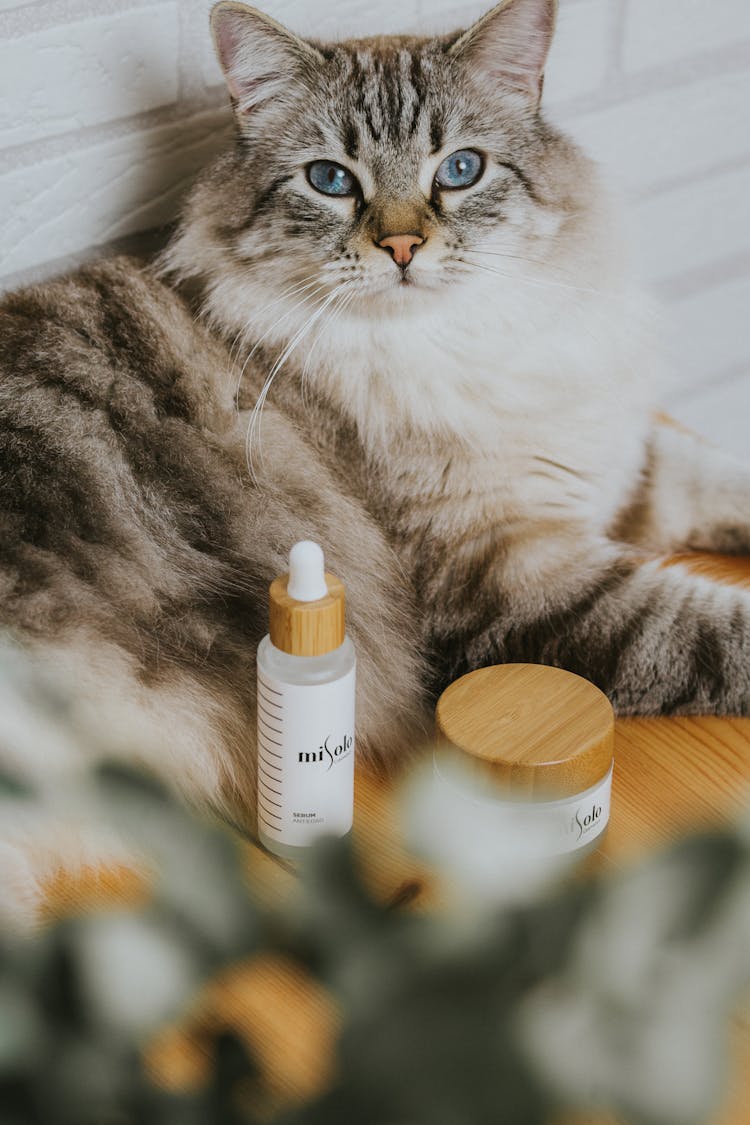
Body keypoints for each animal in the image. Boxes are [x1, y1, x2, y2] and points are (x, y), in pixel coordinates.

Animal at [1, 0, 750, 927]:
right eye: (331, 180)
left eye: (460, 170)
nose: (400, 247)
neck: (456, 339)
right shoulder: (514, 581)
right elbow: (715, 630)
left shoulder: (611, 472)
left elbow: (721, 478)